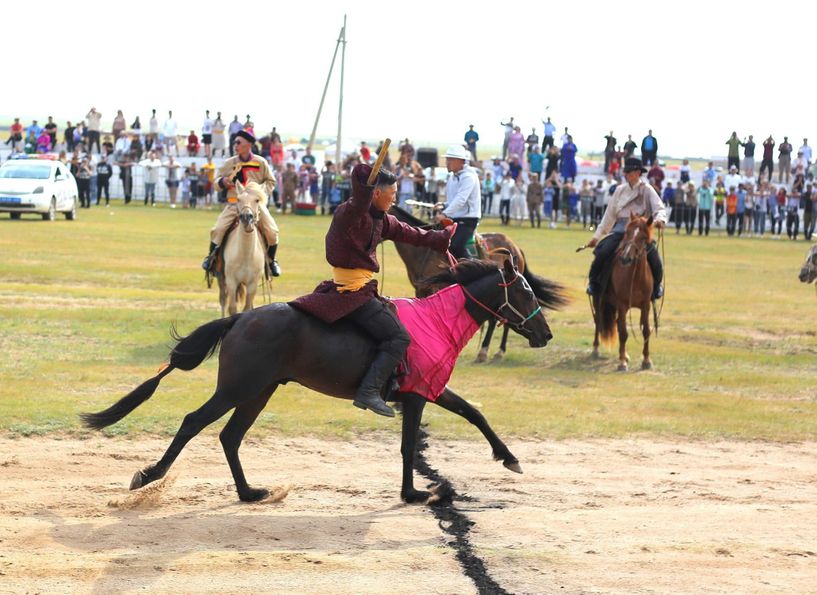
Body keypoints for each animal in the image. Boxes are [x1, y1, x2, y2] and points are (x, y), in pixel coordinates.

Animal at [83, 260, 556, 502]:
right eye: (526, 292)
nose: (545, 333)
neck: (437, 321)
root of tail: (240, 317)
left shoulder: (428, 390)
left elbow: (473, 413)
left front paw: (508, 457)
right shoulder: (418, 396)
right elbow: (409, 446)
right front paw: (415, 493)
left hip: (258, 391)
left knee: (230, 437)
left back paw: (249, 492)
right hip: (238, 388)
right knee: (192, 423)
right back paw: (150, 475)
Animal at [217, 183, 264, 316]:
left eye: (257, 200)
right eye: (238, 199)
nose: (246, 217)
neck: (246, 255)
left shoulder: (253, 283)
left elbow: (247, 308)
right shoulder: (231, 281)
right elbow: (232, 308)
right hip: (221, 278)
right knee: (223, 300)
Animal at [588, 214, 652, 372]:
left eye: (643, 237)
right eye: (627, 233)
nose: (625, 258)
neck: (636, 278)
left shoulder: (646, 305)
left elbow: (646, 331)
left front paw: (646, 360)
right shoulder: (622, 305)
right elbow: (623, 333)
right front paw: (622, 362)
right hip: (598, 299)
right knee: (598, 321)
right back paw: (595, 350)